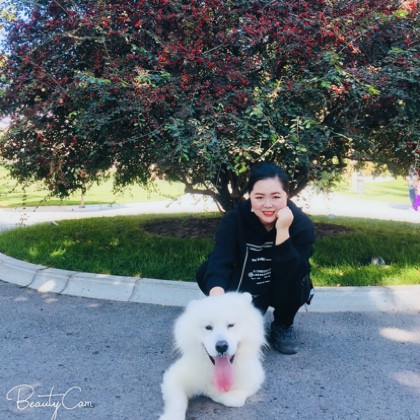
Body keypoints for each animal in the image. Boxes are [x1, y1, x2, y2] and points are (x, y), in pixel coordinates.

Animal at [159, 292, 266, 420]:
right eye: (208, 327)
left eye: (231, 325)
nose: (221, 346)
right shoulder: (174, 376)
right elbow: (177, 401)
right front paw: (172, 416)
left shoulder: (253, 379)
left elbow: (230, 398)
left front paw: (211, 391)